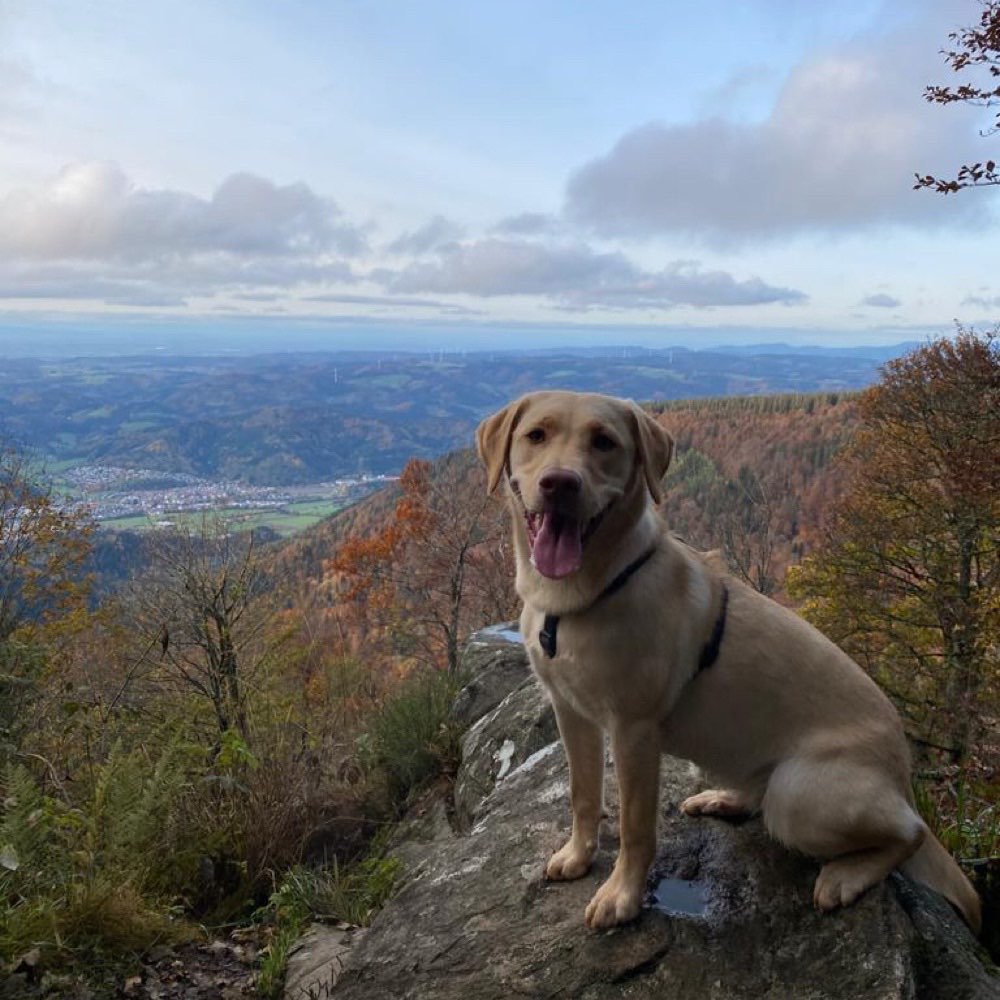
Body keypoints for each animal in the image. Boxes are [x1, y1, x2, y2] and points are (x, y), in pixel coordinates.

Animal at [474, 388, 976, 928]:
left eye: (604, 442)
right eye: (536, 435)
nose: (560, 483)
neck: (577, 598)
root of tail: (903, 777)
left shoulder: (634, 731)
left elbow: (634, 826)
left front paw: (623, 894)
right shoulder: (571, 713)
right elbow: (582, 794)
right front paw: (578, 854)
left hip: (798, 794)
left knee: (910, 834)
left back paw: (847, 874)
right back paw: (725, 799)